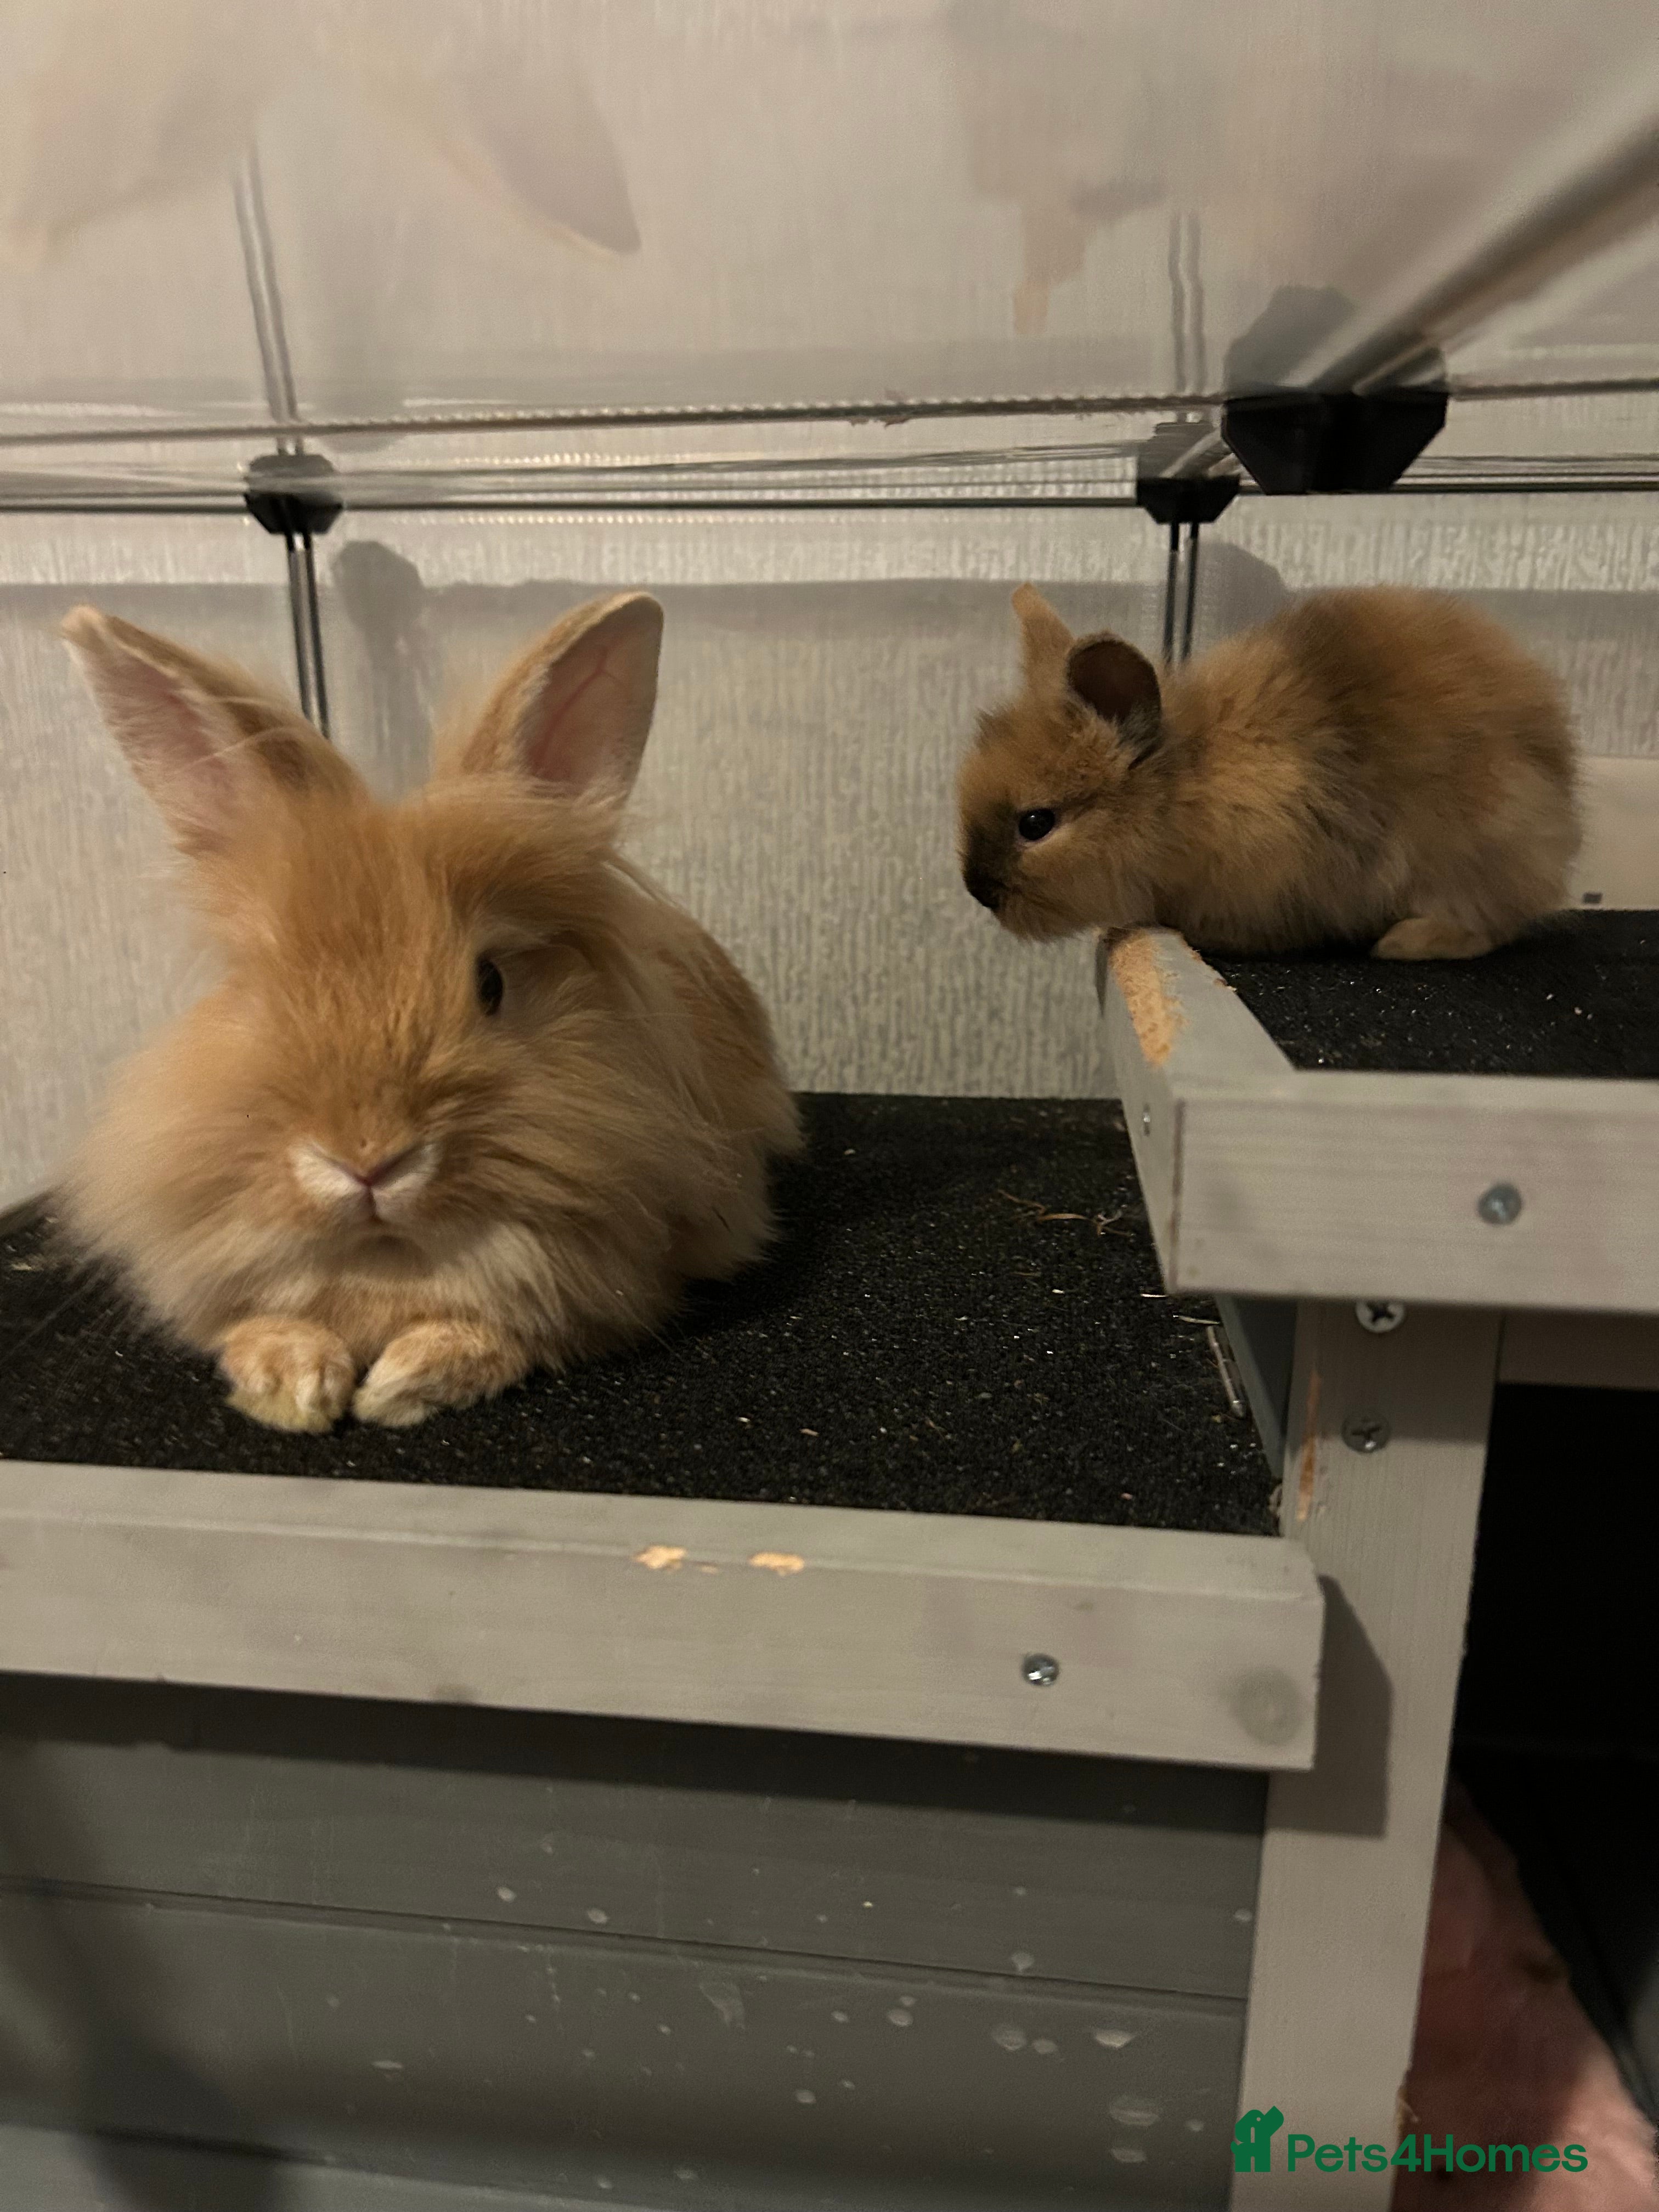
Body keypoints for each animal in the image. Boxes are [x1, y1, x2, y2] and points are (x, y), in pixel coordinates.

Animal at [59, 593, 802, 1433]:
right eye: (255, 987)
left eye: (491, 983)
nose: (367, 1160)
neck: (389, 1258)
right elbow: (257, 1323)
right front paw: (292, 1384)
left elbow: (510, 1331)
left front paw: (407, 1382)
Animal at [958, 584, 1580, 960]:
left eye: (1036, 824)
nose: (978, 893)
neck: (1187, 787)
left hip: (1476, 846)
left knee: (1489, 924)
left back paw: (1405, 943)